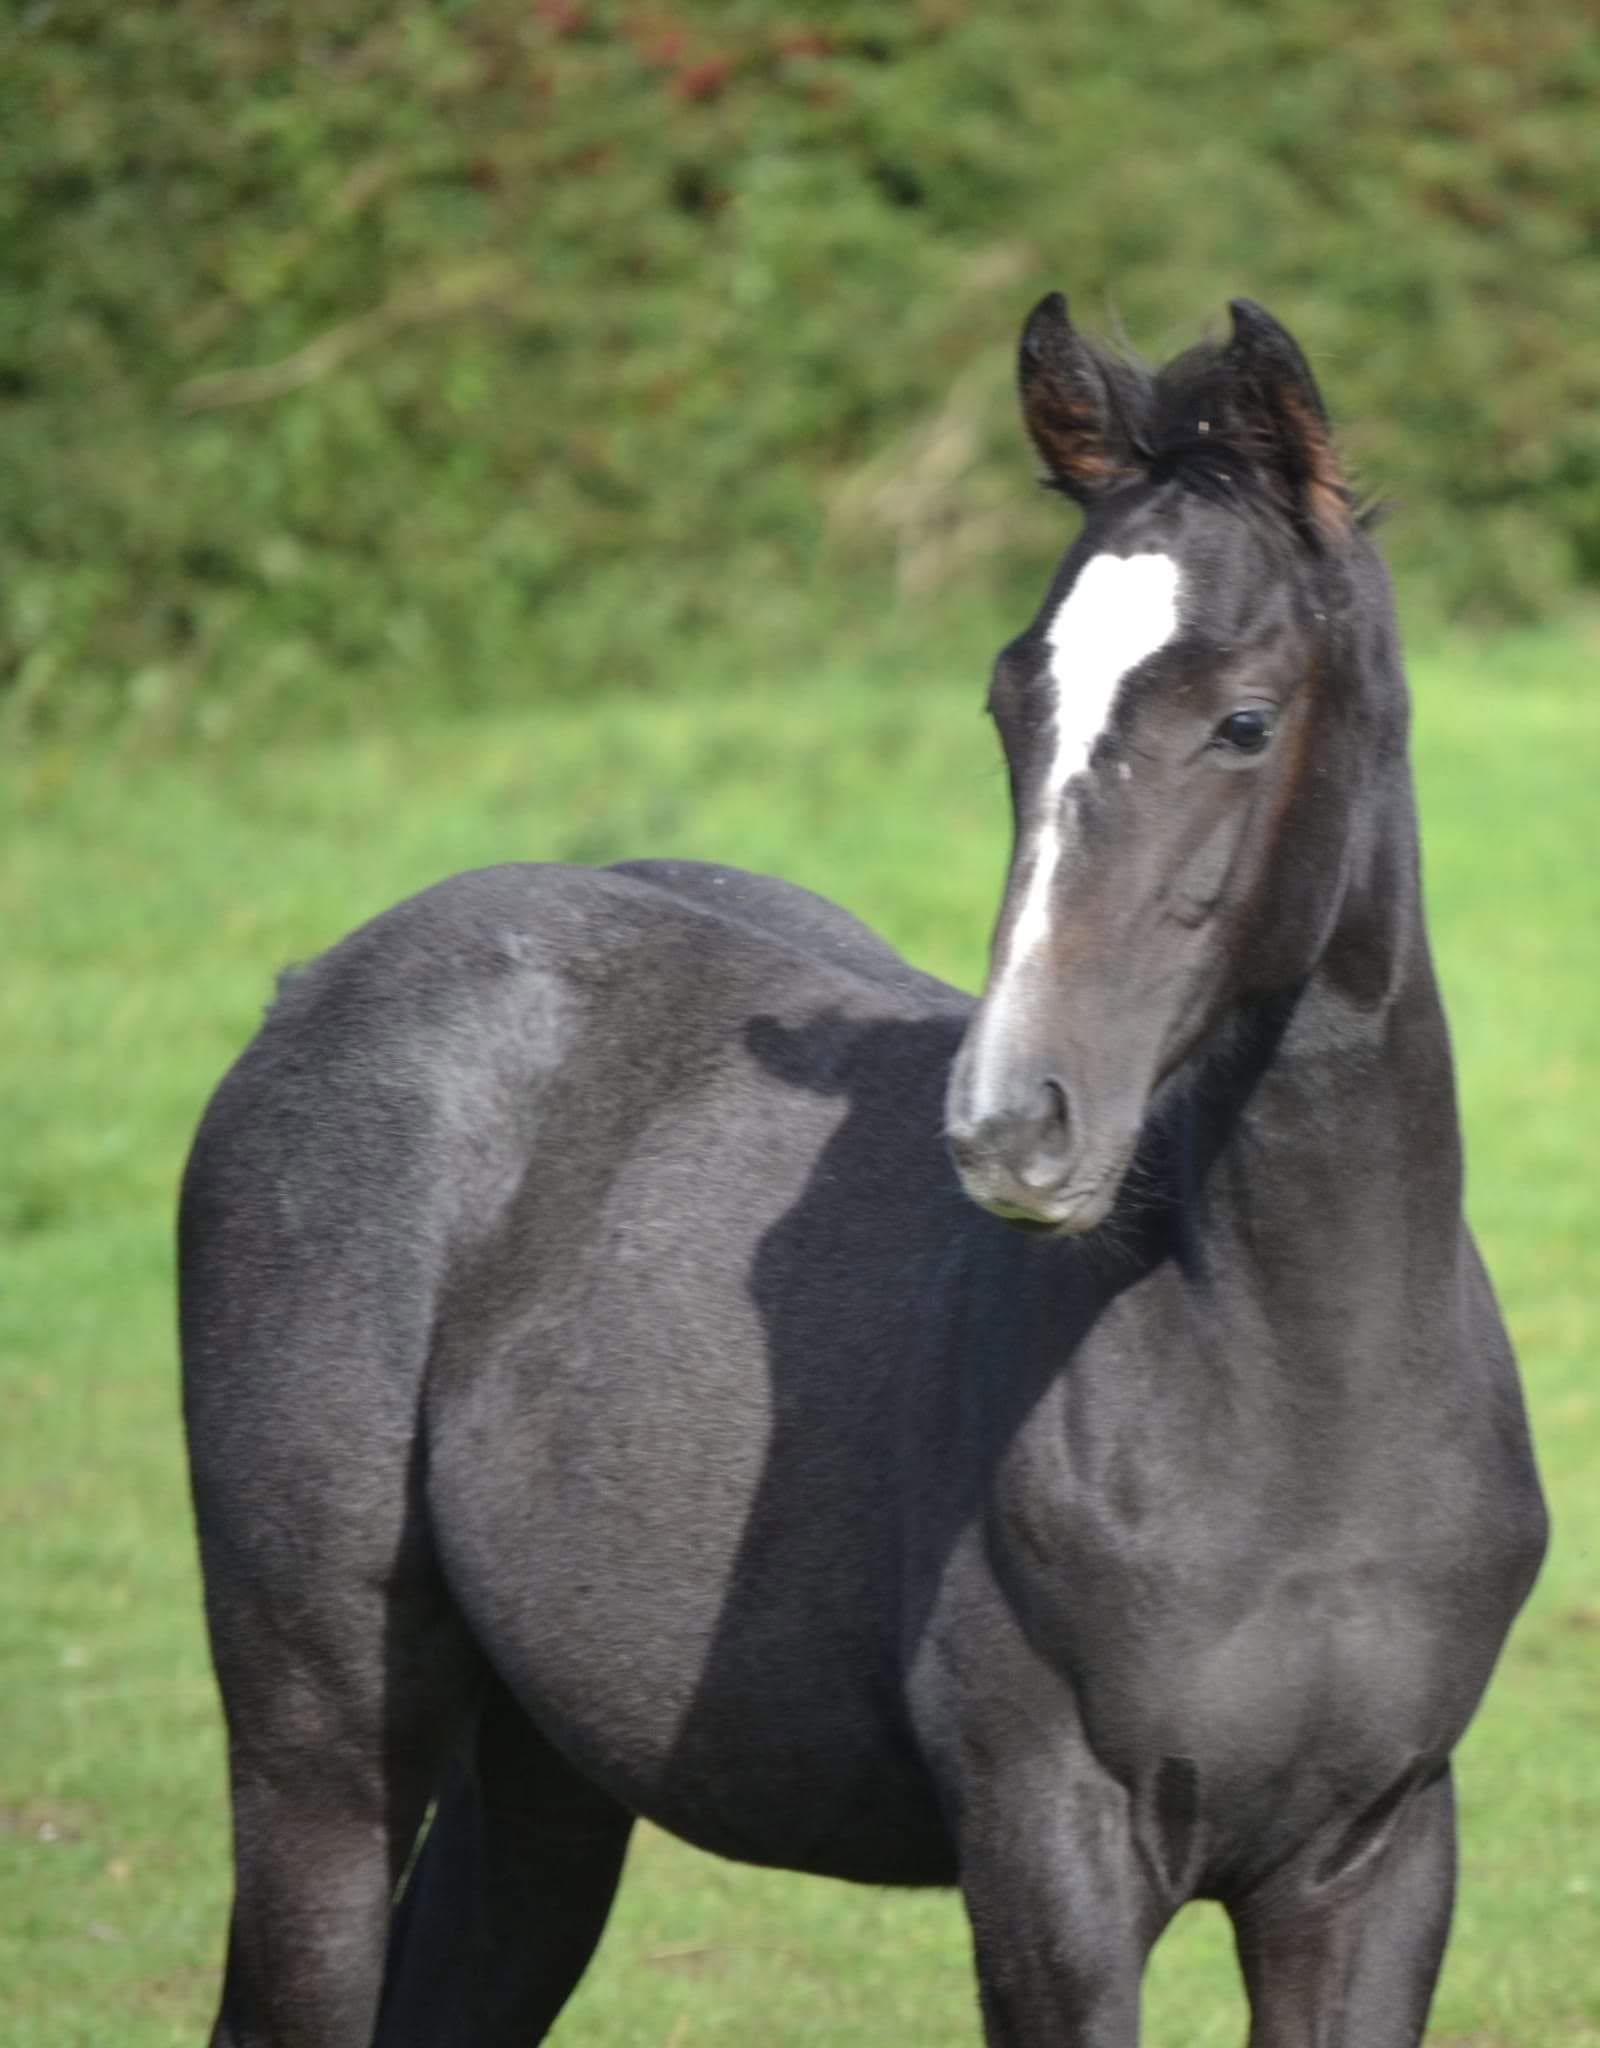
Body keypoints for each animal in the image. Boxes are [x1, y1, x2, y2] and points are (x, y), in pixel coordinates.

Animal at [180, 292, 1547, 2047]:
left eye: (1243, 722)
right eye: (1013, 705)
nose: (1012, 1123)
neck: (1302, 1391)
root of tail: (311, 985)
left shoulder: (1374, 1864)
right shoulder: (1051, 1863)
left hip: (544, 1779)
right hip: (321, 1744)